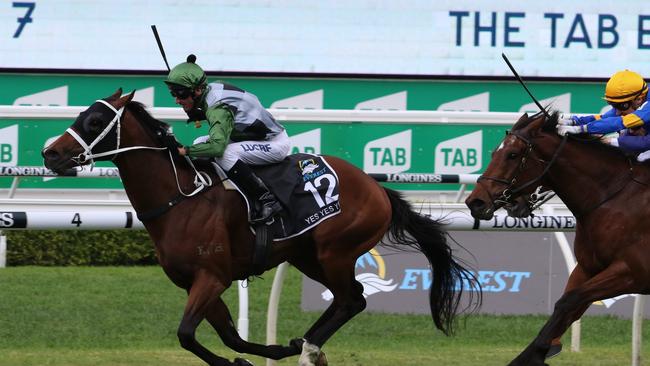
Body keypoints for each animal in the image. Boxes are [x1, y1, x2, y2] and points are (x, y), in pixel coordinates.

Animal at [40, 89, 476, 366]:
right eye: (81, 115)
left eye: (96, 120)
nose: (50, 153)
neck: (180, 198)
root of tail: (377, 188)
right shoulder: (196, 282)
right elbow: (225, 336)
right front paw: (260, 355)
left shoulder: (211, 276)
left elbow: (186, 334)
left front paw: (247, 360)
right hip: (307, 256)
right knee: (349, 299)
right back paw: (305, 344)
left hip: (335, 251)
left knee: (352, 299)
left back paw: (309, 347)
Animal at [464, 111, 648, 366]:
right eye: (494, 152)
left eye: (513, 155)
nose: (476, 202)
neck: (616, 198)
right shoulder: (588, 267)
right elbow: (568, 306)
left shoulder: (632, 272)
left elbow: (569, 301)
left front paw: (536, 352)